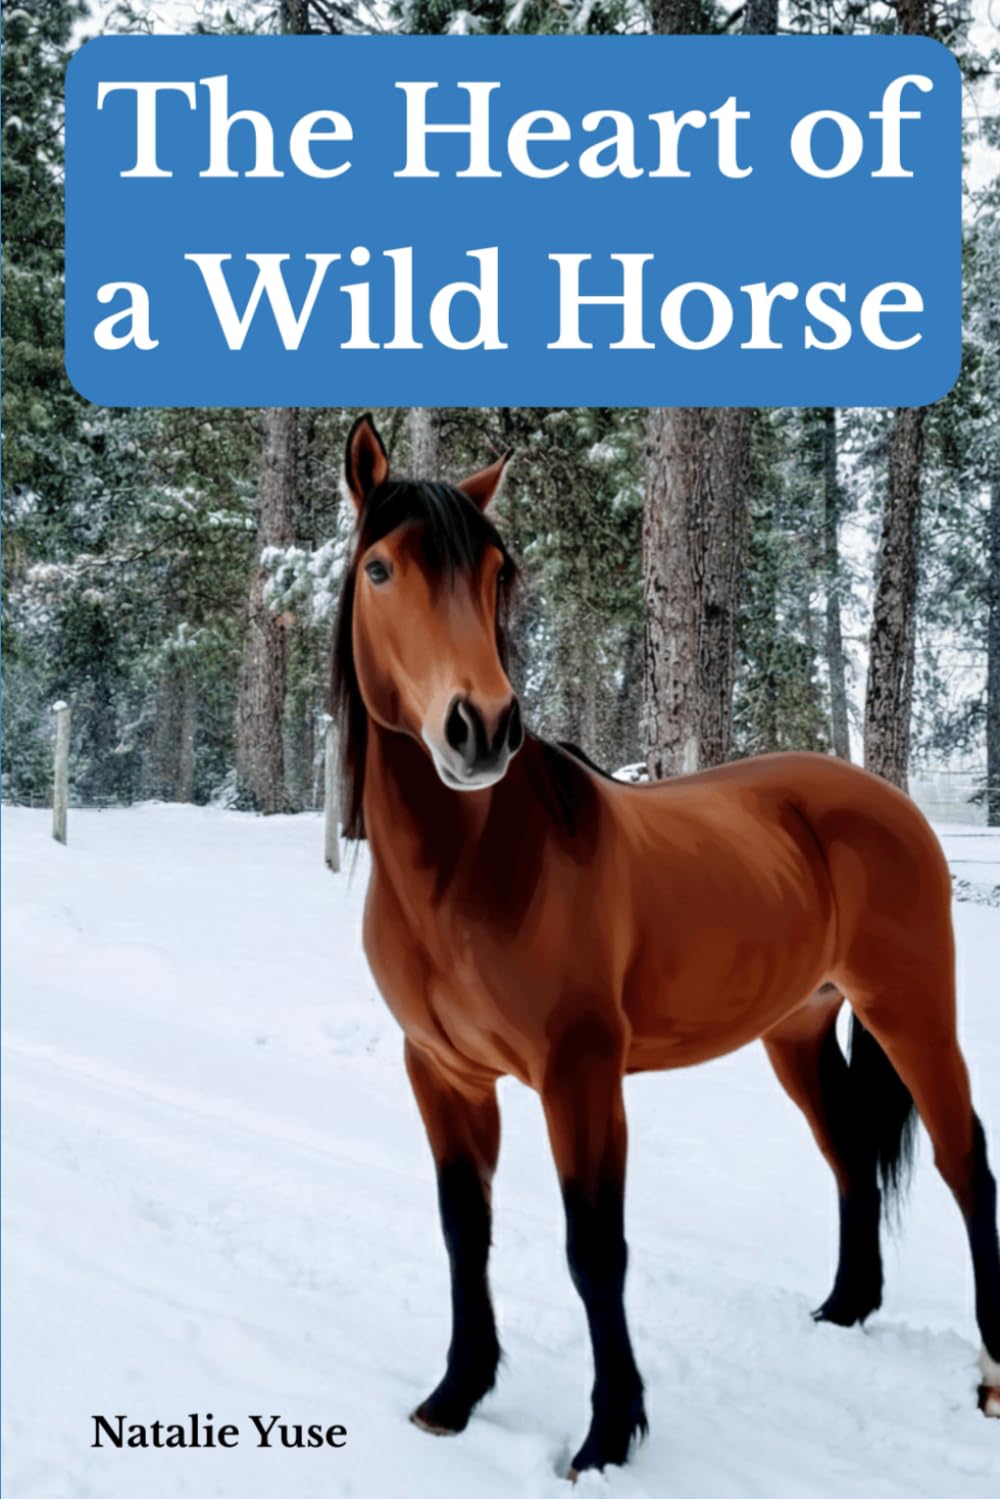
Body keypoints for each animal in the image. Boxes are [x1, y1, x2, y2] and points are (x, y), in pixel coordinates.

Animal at [332, 413, 1000, 1476]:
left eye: (497, 572)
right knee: (852, 1154)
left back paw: (991, 1376)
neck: (475, 868)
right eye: (381, 568)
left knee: (965, 1160)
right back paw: (845, 1307)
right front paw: (455, 1394)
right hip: (797, 1031)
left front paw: (607, 1432)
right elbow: (463, 1230)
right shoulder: (441, 1072)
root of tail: (885, 798)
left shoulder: (580, 1075)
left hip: (913, 1011)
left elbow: (593, 1248)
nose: (481, 730)